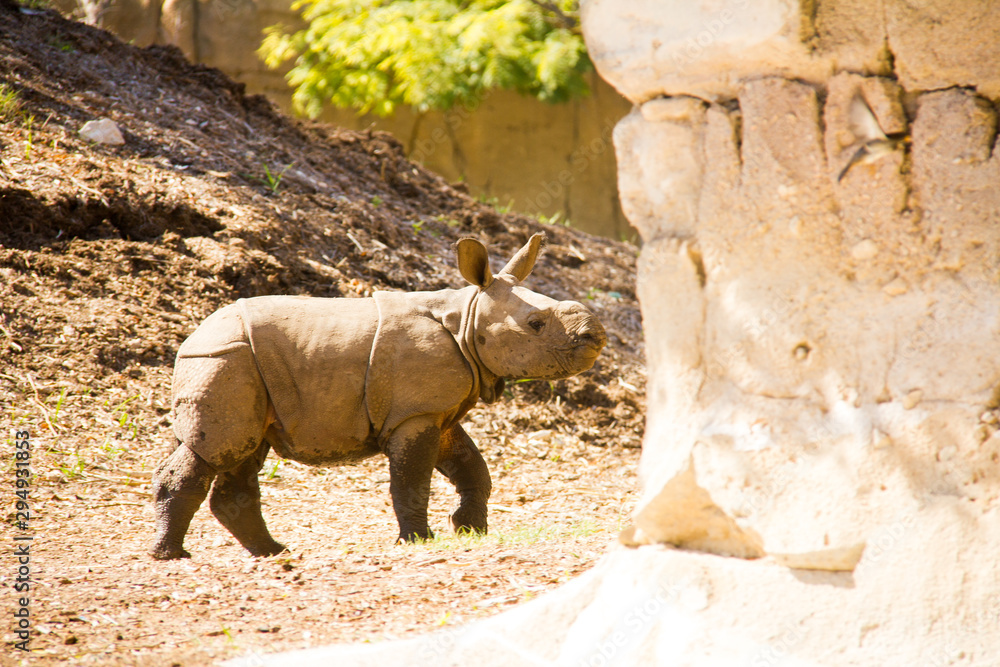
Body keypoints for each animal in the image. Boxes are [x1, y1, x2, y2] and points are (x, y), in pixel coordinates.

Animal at [150, 233, 607, 560]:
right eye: (536, 324)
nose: (596, 337)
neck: (468, 316)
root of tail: (192, 335)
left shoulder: (435, 411)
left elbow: (473, 470)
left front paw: (470, 529)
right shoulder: (415, 413)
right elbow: (411, 479)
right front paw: (420, 541)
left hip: (236, 362)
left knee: (243, 451)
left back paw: (272, 552)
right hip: (225, 358)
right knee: (218, 449)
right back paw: (172, 556)